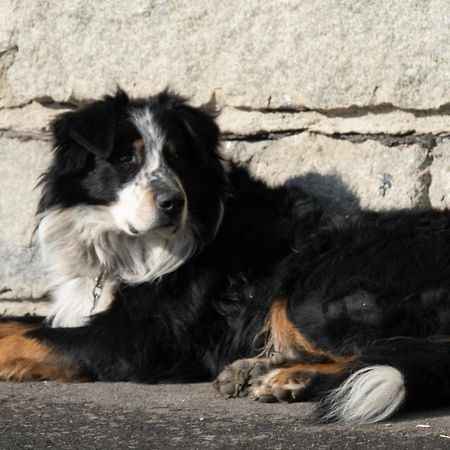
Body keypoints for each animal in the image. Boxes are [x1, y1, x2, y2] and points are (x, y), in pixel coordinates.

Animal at [0, 89, 450, 426]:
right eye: (126, 158)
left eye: (178, 156)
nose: (172, 204)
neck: (127, 246)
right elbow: (18, 324)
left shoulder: (135, 337)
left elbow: (30, 338)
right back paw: (256, 370)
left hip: (313, 284)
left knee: (377, 351)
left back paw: (290, 379)